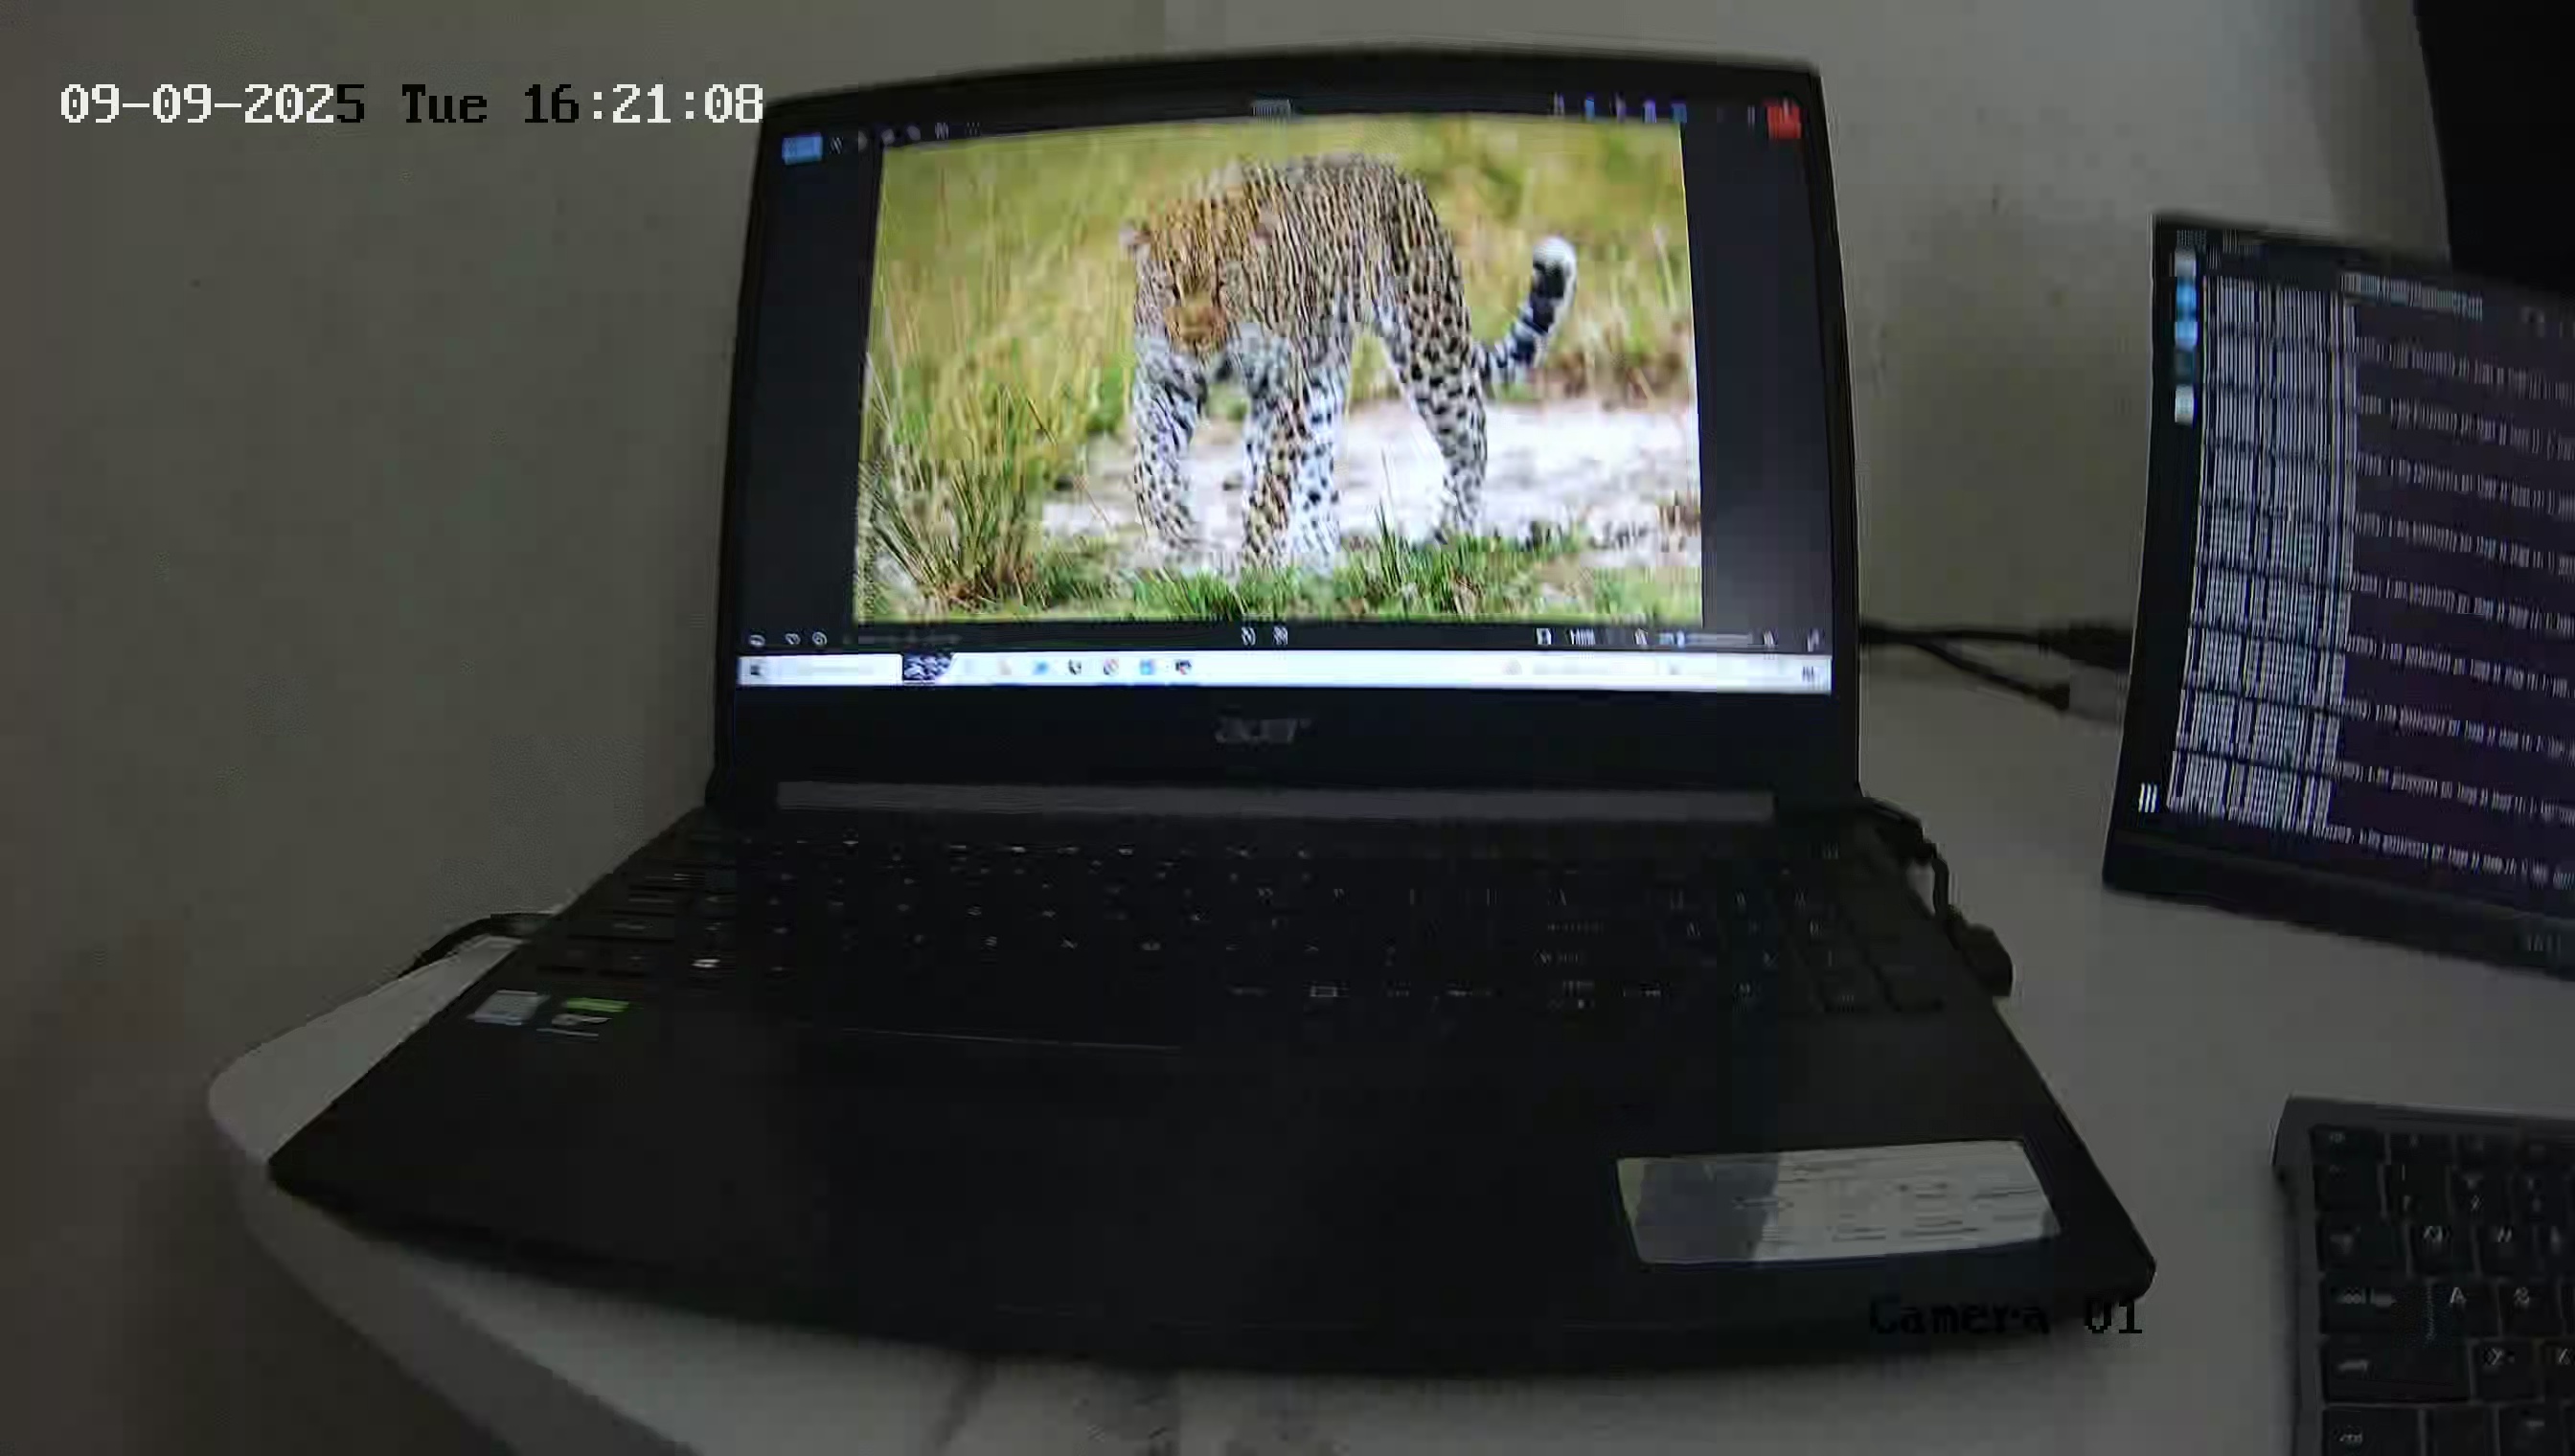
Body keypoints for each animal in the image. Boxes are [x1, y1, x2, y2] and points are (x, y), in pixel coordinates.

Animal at [1120, 154, 1577, 570]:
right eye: (1170, 288)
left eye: (1224, 284)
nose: (1194, 338)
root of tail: (1396, 172)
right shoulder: (1165, 381)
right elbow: (1150, 459)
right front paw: (1176, 530)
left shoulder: (1285, 385)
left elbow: (1272, 482)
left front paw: (1256, 559)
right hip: (1328, 373)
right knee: (1319, 469)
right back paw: (1315, 550)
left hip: (1429, 349)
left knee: (1471, 433)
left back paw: (1451, 532)